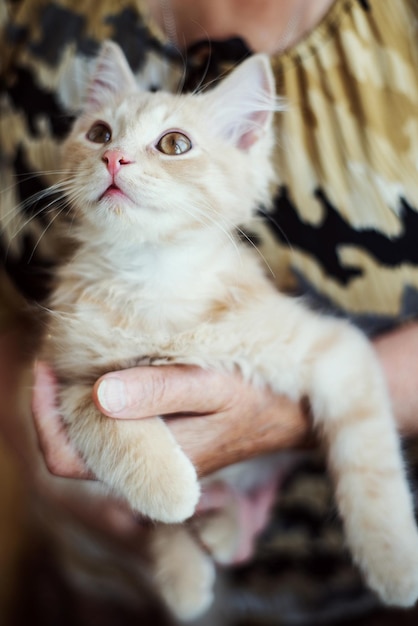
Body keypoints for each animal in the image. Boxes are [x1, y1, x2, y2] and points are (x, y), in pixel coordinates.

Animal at [40, 44, 418, 620]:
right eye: (99, 133)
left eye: (174, 144)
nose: (113, 159)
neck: (155, 280)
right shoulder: (71, 371)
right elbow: (105, 416)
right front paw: (167, 487)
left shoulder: (337, 352)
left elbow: (371, 464)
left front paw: (394, 561)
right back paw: (187, 573)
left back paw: (222, 530)